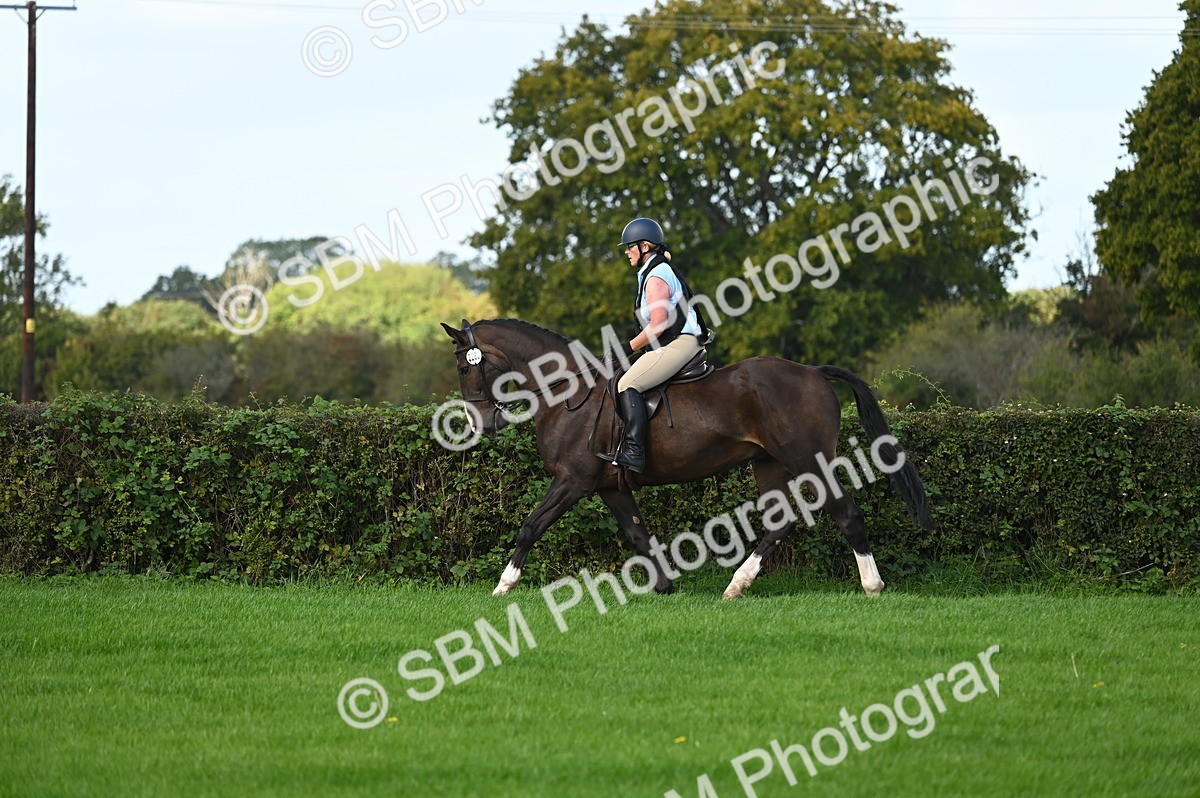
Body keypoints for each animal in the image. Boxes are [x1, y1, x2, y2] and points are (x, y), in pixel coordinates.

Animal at [441, 318, 932, 600]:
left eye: (465, 367)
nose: (481, 423)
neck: (567, 391)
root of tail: (812, 372)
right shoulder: (608, 487)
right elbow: (639, 535)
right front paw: (665, 587)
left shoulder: (573, 481)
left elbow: (530, 526)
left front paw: (503, 585)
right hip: (768, 463)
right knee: (781, 522)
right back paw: (737, 585)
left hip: (808, 459)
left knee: (846, 512)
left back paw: (872, 585)